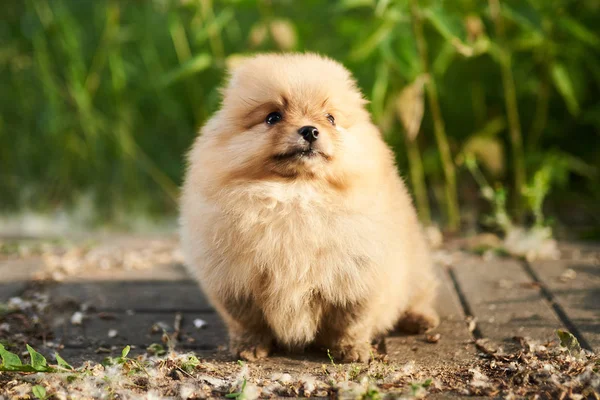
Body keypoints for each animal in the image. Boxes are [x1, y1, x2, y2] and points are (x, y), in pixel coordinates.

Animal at [180, 53, 438, 362]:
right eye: (273, 117)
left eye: (330, 118)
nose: (310, 130)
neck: (296, 197)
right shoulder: (235, 279)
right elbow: (248, 320)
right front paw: (250, 347)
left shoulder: (357, 274)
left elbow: (350, 320)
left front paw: (352, 350)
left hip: (416, 265)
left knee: (419, 293)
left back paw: (420, 319)